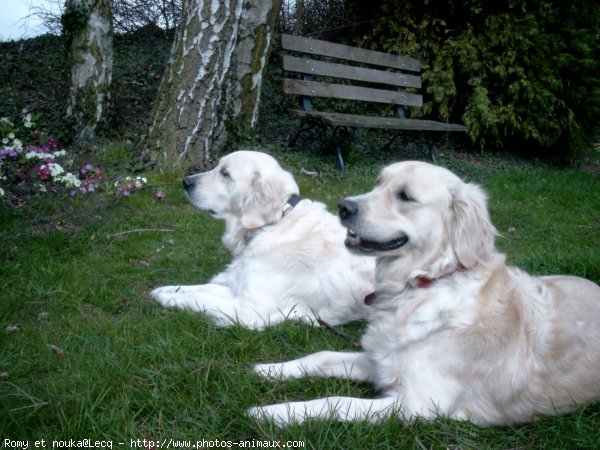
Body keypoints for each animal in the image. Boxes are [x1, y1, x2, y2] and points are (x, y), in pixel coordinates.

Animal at [151, 149, 370, 328]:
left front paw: (167, 298)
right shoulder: (237, 287)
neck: (274, 225)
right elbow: (198, 288)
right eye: (218, 167)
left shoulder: (248, 309)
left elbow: (199, 298)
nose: (185, 182)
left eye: (225, 173)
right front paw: (165, 289)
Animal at [248, 161, 600, 426]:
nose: (343, 206)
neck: (422, 284)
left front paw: (272, 412)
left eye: (405, 196)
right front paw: (269, 370)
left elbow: (336, 402)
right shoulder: (381, 360)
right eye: (378, 182)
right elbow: (321, 356)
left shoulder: (415, 404)